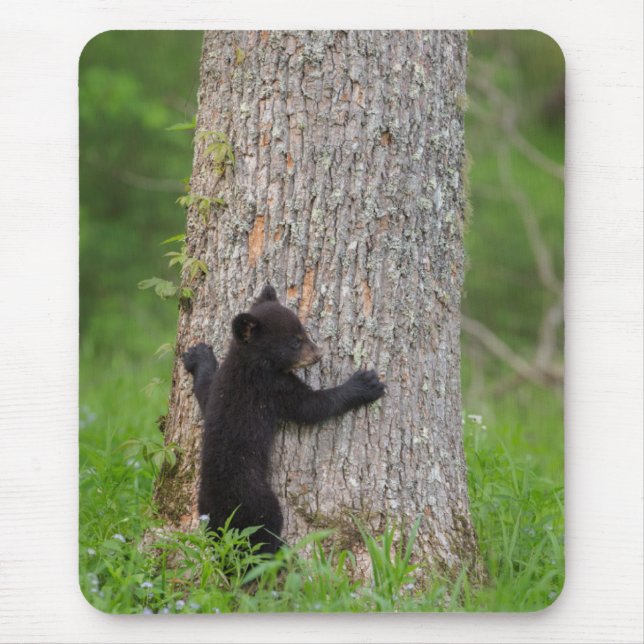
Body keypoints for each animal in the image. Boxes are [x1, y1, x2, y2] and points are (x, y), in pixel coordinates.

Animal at [182, 284, 385, 554]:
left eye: (303, 332)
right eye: (295, 342)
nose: (319, 354)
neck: (250, 361)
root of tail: (221, 516)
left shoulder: (220, 387)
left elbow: (205, 391)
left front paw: (198, 355)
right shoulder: (272, 387)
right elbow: (311, 407)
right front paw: (364, 385)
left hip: (206, 512)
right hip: (258, 502)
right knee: (262, 536)